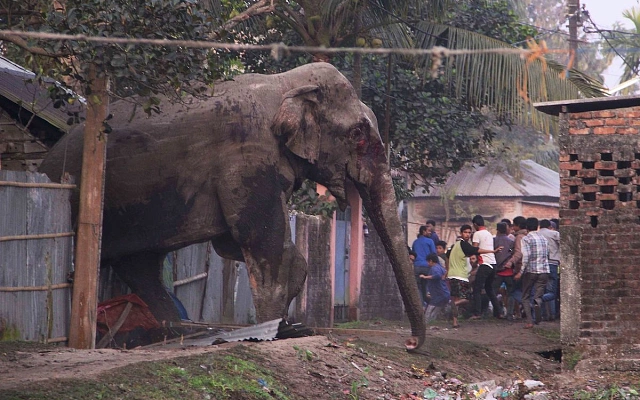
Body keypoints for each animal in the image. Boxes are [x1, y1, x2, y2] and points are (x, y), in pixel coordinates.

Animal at [39, 62, 426, 350]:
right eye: (358, 134)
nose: (409, 344)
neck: (283, 83)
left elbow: (233, 242)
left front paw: (285, 324)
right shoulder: (247, 156)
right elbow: (257, 237)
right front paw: (277, 330)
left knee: (142, 266)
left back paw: (178, 332)